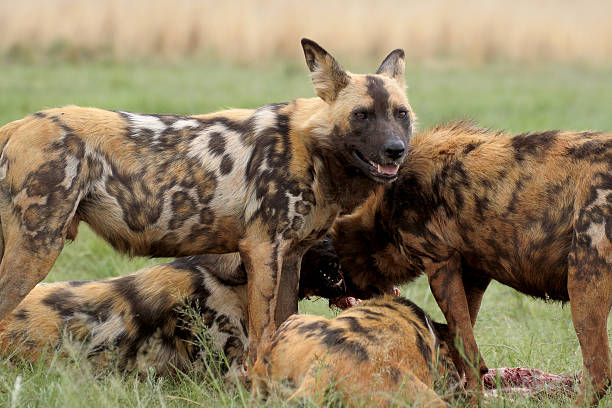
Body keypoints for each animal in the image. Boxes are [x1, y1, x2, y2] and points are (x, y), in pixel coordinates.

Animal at [0, 39, 416, 360]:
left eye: (402, 114)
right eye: (361, 115)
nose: (396, 150)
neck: (312, 150)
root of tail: (17, 125)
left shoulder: (290, 256)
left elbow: (282, 326)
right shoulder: (263, 249)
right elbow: (262, 335)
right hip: (37, 249)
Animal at [308, 120, 612, 404]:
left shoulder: (440, 266)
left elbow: (466, 348)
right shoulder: (474, 276)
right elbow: (460, 340)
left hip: (583, 284)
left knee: (598, 373)